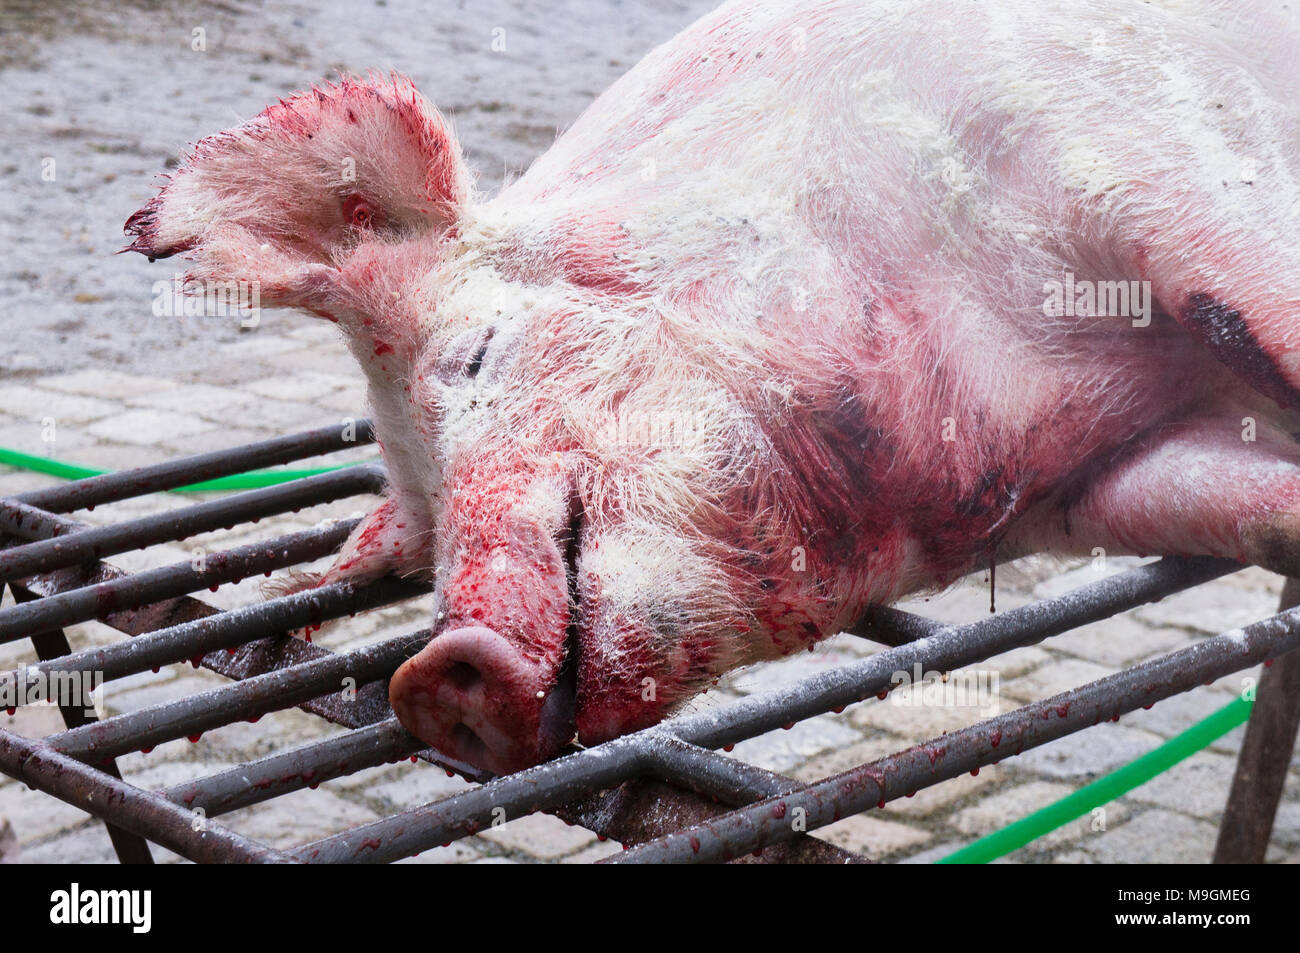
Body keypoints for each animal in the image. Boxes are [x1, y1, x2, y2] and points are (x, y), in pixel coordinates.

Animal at [124, 0, 1300, 775]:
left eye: (477, 353)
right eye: (417, 531)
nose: (438, 681)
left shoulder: (1137, 146)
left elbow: (1252, 307)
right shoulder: (1100, 480)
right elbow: (1253, 514)